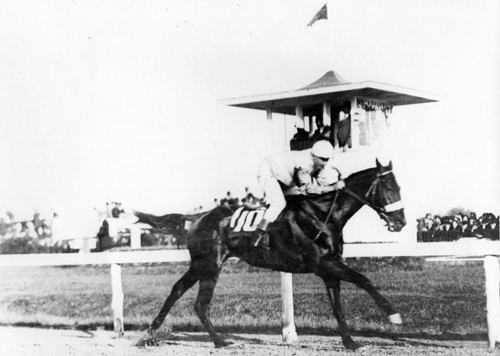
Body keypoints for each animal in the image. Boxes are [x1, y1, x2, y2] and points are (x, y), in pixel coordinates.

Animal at [136, 159, 406, 350]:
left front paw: (350, 342)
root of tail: (197, 216)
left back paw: (150, 332)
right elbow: (364, 279)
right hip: (210, 266)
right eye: (388, 186)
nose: (400, 222)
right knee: (200, 304)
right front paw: (394, 316)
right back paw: (219, 341)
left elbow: (338, 306)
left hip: (201, 265)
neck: (323, 214)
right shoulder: (324, 263)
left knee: (177, 290)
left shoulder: (330, 269)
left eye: (399, 186)